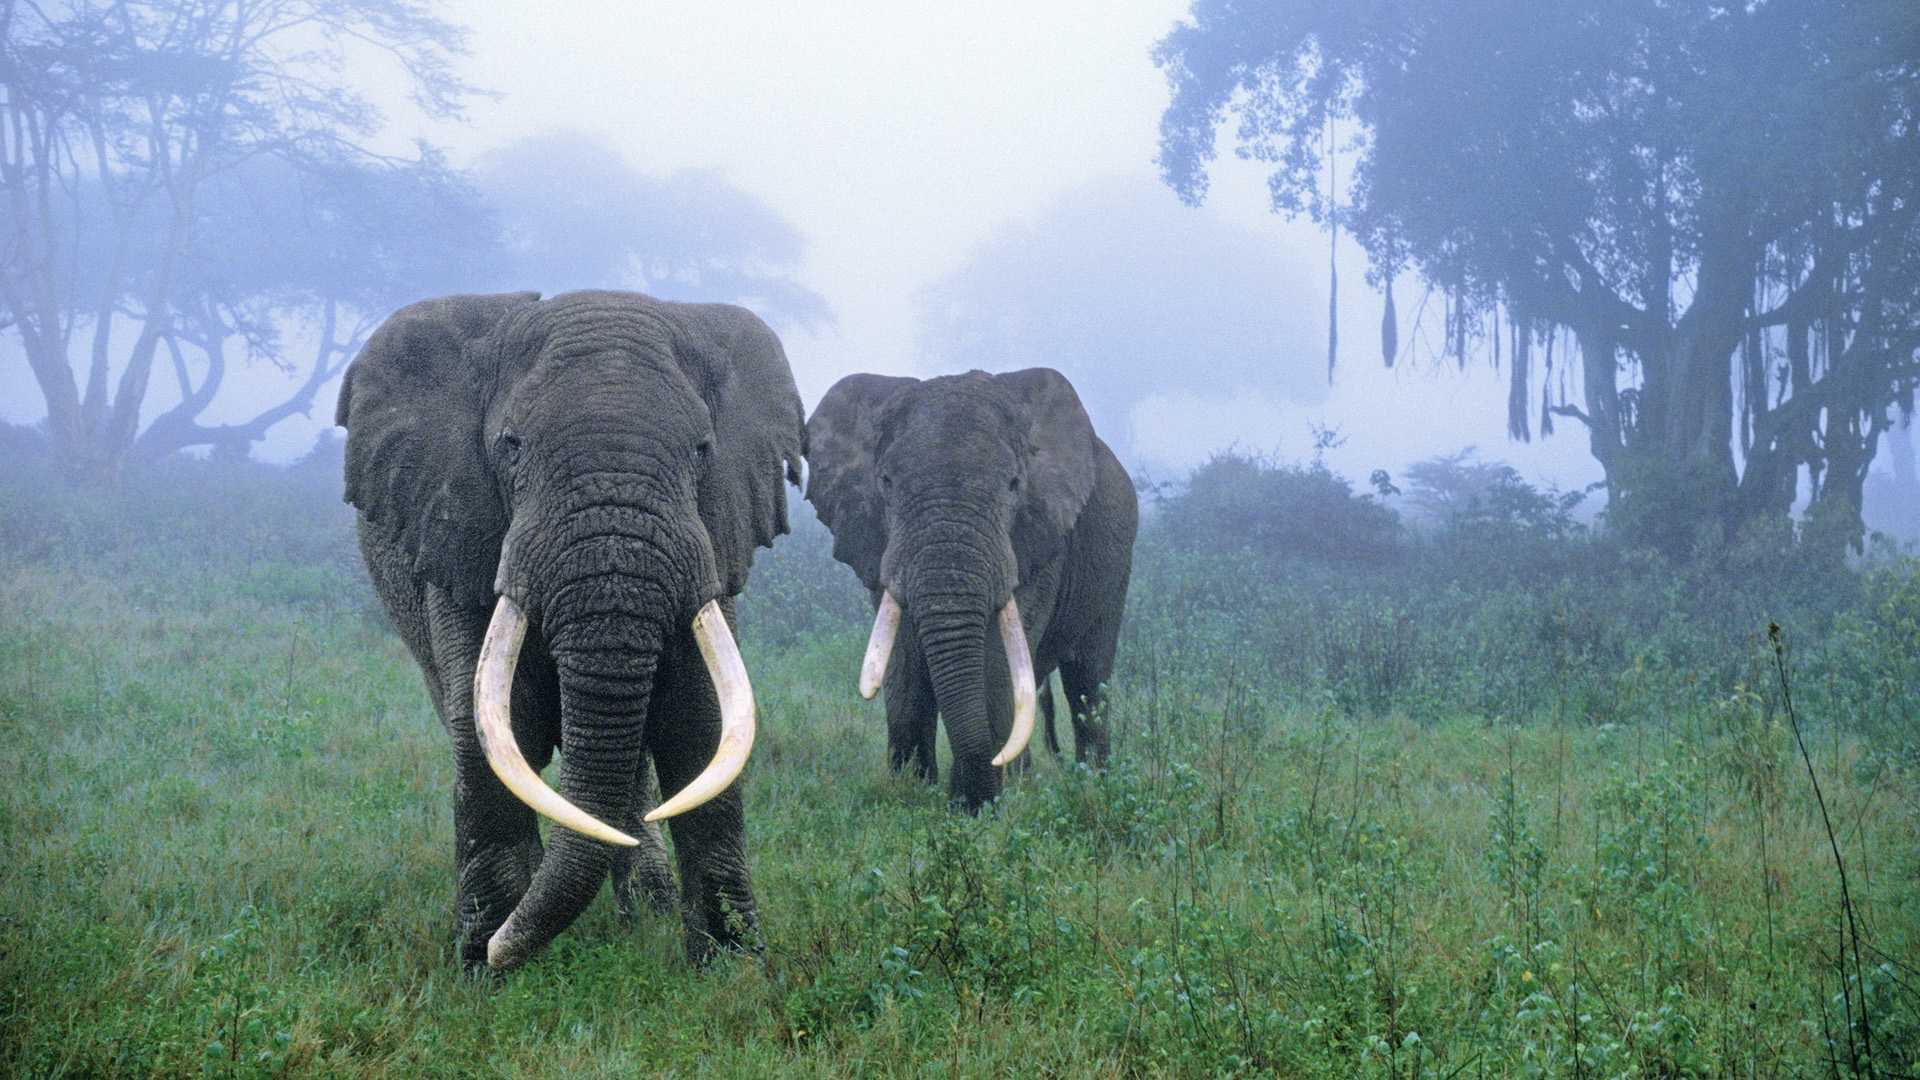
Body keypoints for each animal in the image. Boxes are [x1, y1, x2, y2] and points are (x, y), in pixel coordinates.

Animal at [337, 286, 802, 968]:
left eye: (702, 450)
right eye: (511, 446)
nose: (499, 950)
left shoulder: (715, 543)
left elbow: (703, 724)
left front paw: (733, 967)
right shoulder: (461, 539)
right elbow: (494, 726)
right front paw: (483, 966)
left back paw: (646, 912)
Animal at [802, 367, 1128, 807]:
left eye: (1014, 484)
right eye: (885, 481)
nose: (974, 799)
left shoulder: (1039, 537)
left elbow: (996, 660)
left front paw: (974, 809)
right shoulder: (879, 540)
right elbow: (904, 659)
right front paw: (910, 795)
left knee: (1088, 679)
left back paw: (1092, 785)